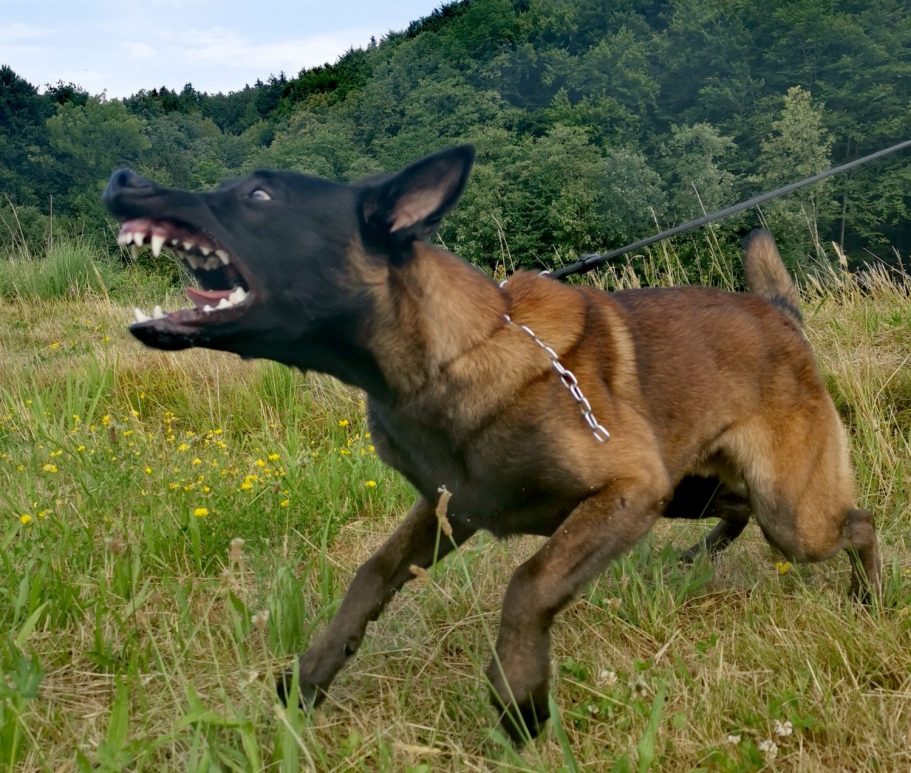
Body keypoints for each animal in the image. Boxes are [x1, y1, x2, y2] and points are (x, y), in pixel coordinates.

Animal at [103, 146, 880, 740]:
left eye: (258, 194)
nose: (121, 180)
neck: (448, 357)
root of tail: (779, 315)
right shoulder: (454, 508)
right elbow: (370, 577)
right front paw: (310, 675)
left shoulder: (625, 490)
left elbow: (528, 582)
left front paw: (520, 698)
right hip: (691, 492)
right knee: (735, 510)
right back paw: (705, 555)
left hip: (784, 515)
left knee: (856, 522)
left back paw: (868, 600)